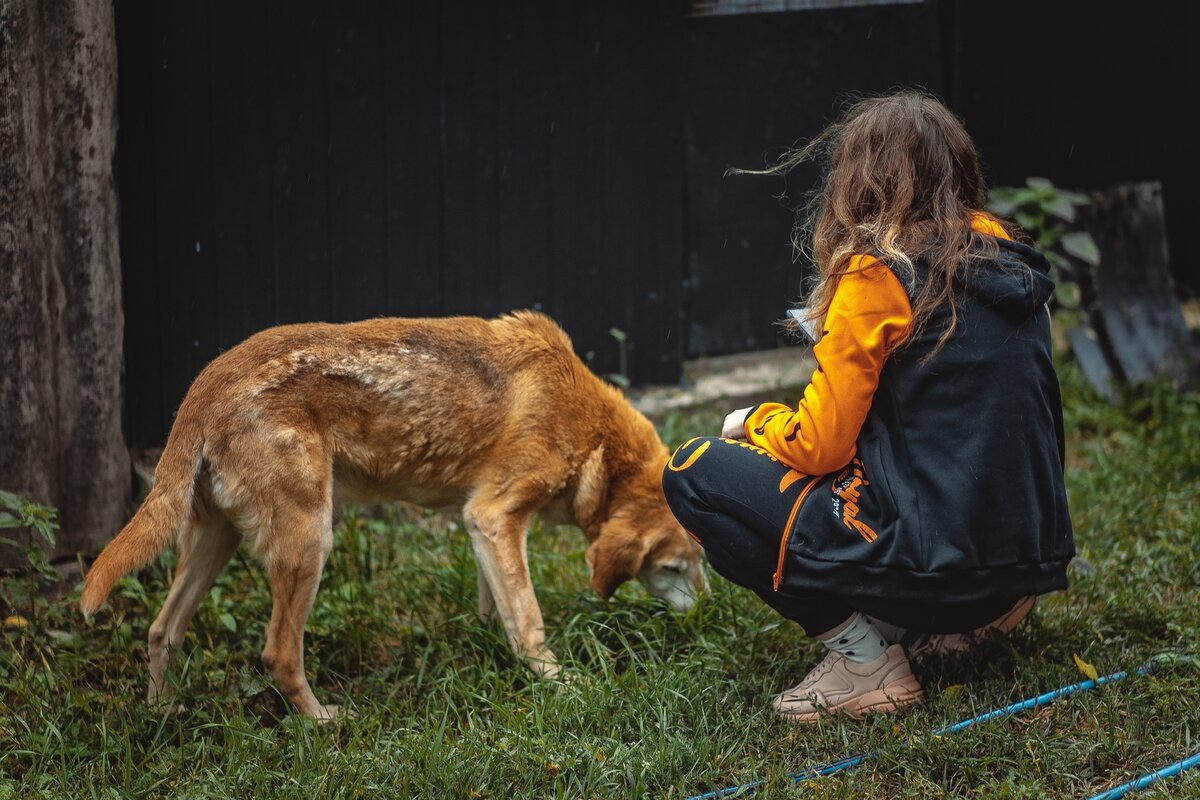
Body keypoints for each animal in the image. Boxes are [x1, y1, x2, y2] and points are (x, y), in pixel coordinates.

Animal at [82, 311, 700, 719]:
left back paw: (162, 714)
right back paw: (322, 722)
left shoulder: (481, 525)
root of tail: (201, 390)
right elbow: (528, 622)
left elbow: (497, 607)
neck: (593, 437)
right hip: (310, 544)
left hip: (217, 541)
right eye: (675, 567)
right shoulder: (496, 516)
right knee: (279, 653)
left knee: (163, 630)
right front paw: (561, 684)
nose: (706, 617)